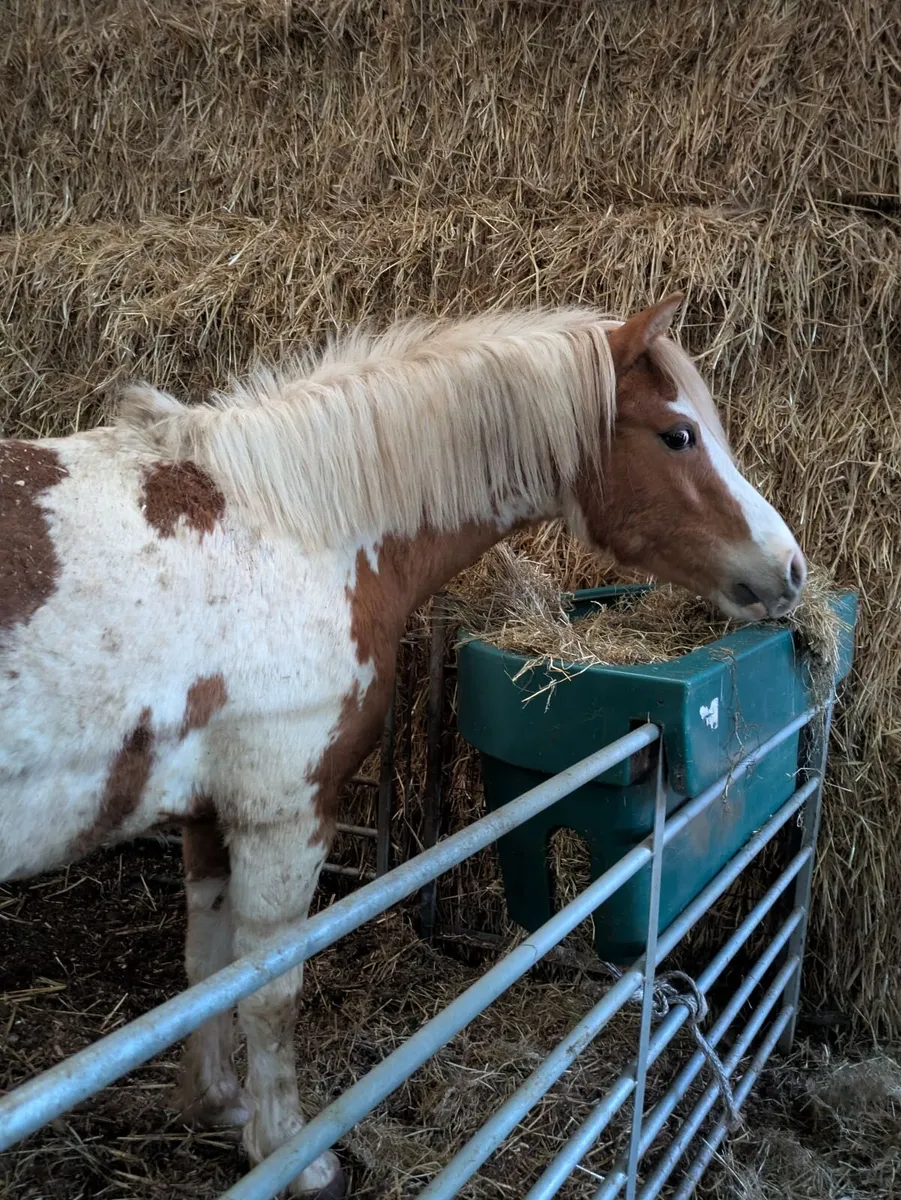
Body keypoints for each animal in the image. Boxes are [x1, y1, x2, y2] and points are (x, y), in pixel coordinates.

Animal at [0, 294, 806, 1198]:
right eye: (678, 435)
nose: (789, 569)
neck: (296, 529)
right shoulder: (286, 812)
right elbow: (270, 991)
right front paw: (292, 1156)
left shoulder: (210, 813)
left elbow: (206, 972)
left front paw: (215, 1102)